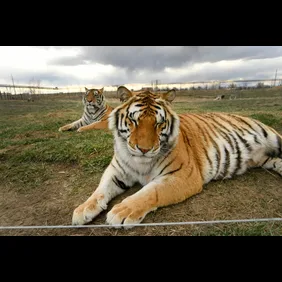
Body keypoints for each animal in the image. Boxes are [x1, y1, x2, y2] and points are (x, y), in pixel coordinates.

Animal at [70, 85, 282, 227]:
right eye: (133, 121)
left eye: (158, 123)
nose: (144, 149)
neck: (140, 162)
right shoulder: (116, 170)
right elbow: (100, 190)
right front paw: (83, 209)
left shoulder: (183, 176)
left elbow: (151, 192)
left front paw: (122, 211)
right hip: (266, 159)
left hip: (275, 138)